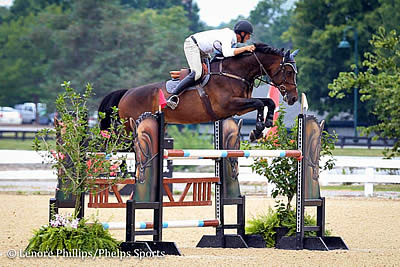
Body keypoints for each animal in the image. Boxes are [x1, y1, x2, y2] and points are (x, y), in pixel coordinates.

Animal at [98, 43, 298, 141]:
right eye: (289, 72)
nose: (294, 98)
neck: (233, 73)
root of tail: (127, 93)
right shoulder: (229, 105)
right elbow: (259, 103)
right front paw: (257, 129)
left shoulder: (239, 107)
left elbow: (267, 102)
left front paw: (264, 124)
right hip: (127, 128)